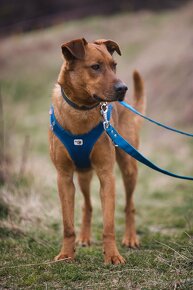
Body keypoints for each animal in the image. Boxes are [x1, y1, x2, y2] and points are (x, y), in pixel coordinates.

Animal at [48, 37, 145, 264]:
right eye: (95, 67)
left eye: (114, 65)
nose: (123, 88)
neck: (81, 111)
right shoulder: (64, 177)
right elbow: (67, 225)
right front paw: (66, 254)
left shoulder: (106, 175)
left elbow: (109, 225)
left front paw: (112, 255)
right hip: (83, 175)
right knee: (87, 205)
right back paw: (84, 237)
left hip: (129, 167)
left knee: (129, 205)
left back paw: (130, 238)